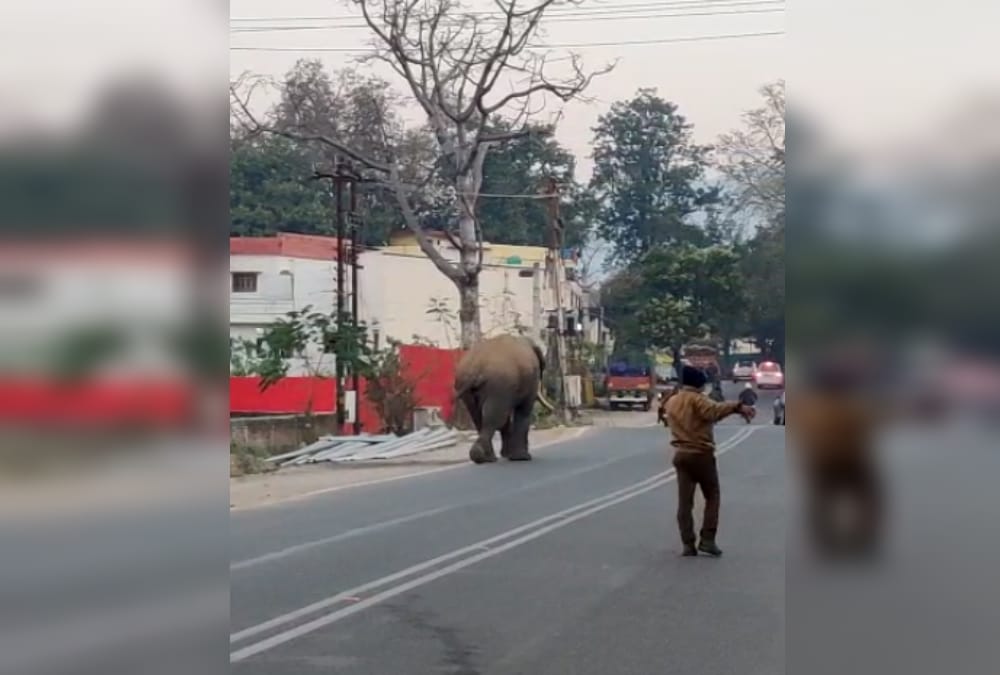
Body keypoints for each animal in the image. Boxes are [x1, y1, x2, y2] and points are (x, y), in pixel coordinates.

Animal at [454, 334, 547, 464]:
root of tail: (475, 368)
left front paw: (509, 455)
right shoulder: (529, 380)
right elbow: (523, 412)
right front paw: (522, 458)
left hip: (467, 387)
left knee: (479, 418)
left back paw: (486, 458)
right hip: (499, 383)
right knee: (495, 418)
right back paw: (482, 456)